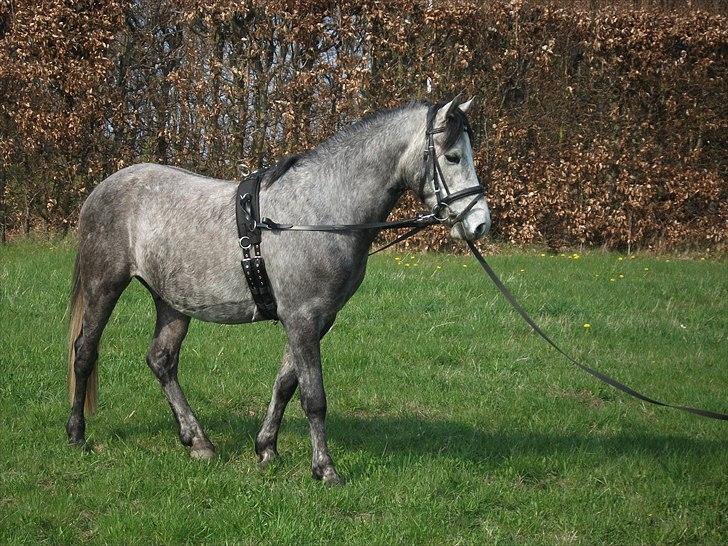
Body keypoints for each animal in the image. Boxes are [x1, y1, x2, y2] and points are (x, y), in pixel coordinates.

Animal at [67, 95, 490, 482]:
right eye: (453, 156)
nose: (480, 224)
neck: (319, 212)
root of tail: (103, 188)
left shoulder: (315, 319)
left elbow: (286, 384)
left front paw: (266, 448)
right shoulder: (302, 318)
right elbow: (313, 397)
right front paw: (325, 468)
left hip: (172, 302)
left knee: (161, 361)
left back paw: (198, 441)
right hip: (104, 285)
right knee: (85, 351)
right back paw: (76, 435)